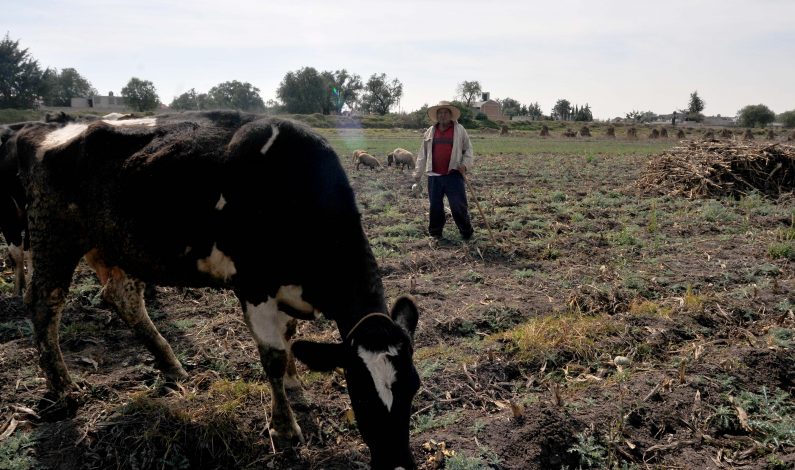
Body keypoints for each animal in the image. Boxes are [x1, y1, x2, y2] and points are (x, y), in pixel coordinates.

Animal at [12, 112, 422, 468]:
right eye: (361, 394)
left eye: (414, 387)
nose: (397, 461)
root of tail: (45, 130)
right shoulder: (255, 289)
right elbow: (273, 356)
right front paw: (285, 428)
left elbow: (289, 338)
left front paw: (296, 386)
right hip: (53, 236)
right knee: (44, 305)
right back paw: (64, 389)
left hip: (115, 247)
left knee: (122, 297)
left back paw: (172, 366)